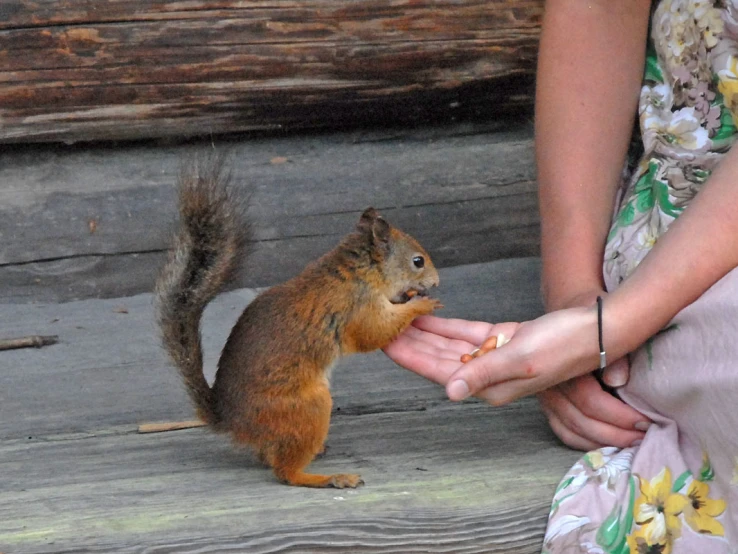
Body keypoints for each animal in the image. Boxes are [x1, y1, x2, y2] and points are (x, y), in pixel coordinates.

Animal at [155, 156, 440, 488]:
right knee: (285, 473)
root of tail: (232, 421)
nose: (436, 282)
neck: (360, 271)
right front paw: (420, 304)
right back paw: (329, 477)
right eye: (418, 261)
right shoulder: (358, 307)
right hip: (308, 406)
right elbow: (373, 333)